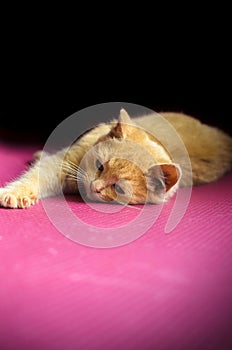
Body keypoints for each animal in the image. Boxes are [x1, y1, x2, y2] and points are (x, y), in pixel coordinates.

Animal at [0, 109, 232, 208]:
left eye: (118, 188)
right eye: (99, 166)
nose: (94, 187)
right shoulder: (61, 163)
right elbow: (36, 176)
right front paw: (15, 193)